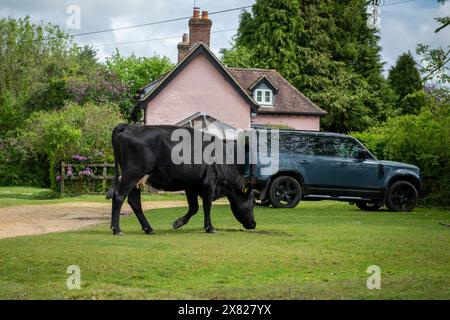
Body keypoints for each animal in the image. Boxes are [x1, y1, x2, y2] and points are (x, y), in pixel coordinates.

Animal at [104, 124, 253, 236]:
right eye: (252, 203)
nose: (254, 224)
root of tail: (128, 126)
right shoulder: (210, 183)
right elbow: (207, 206)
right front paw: (210, 228)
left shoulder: (191, 185)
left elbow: (194, 208)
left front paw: (178, 223)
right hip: (132, 174)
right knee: (119, 196)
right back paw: (117, 229)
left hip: (137, 179)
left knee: (134, 202)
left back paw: (148, 228)